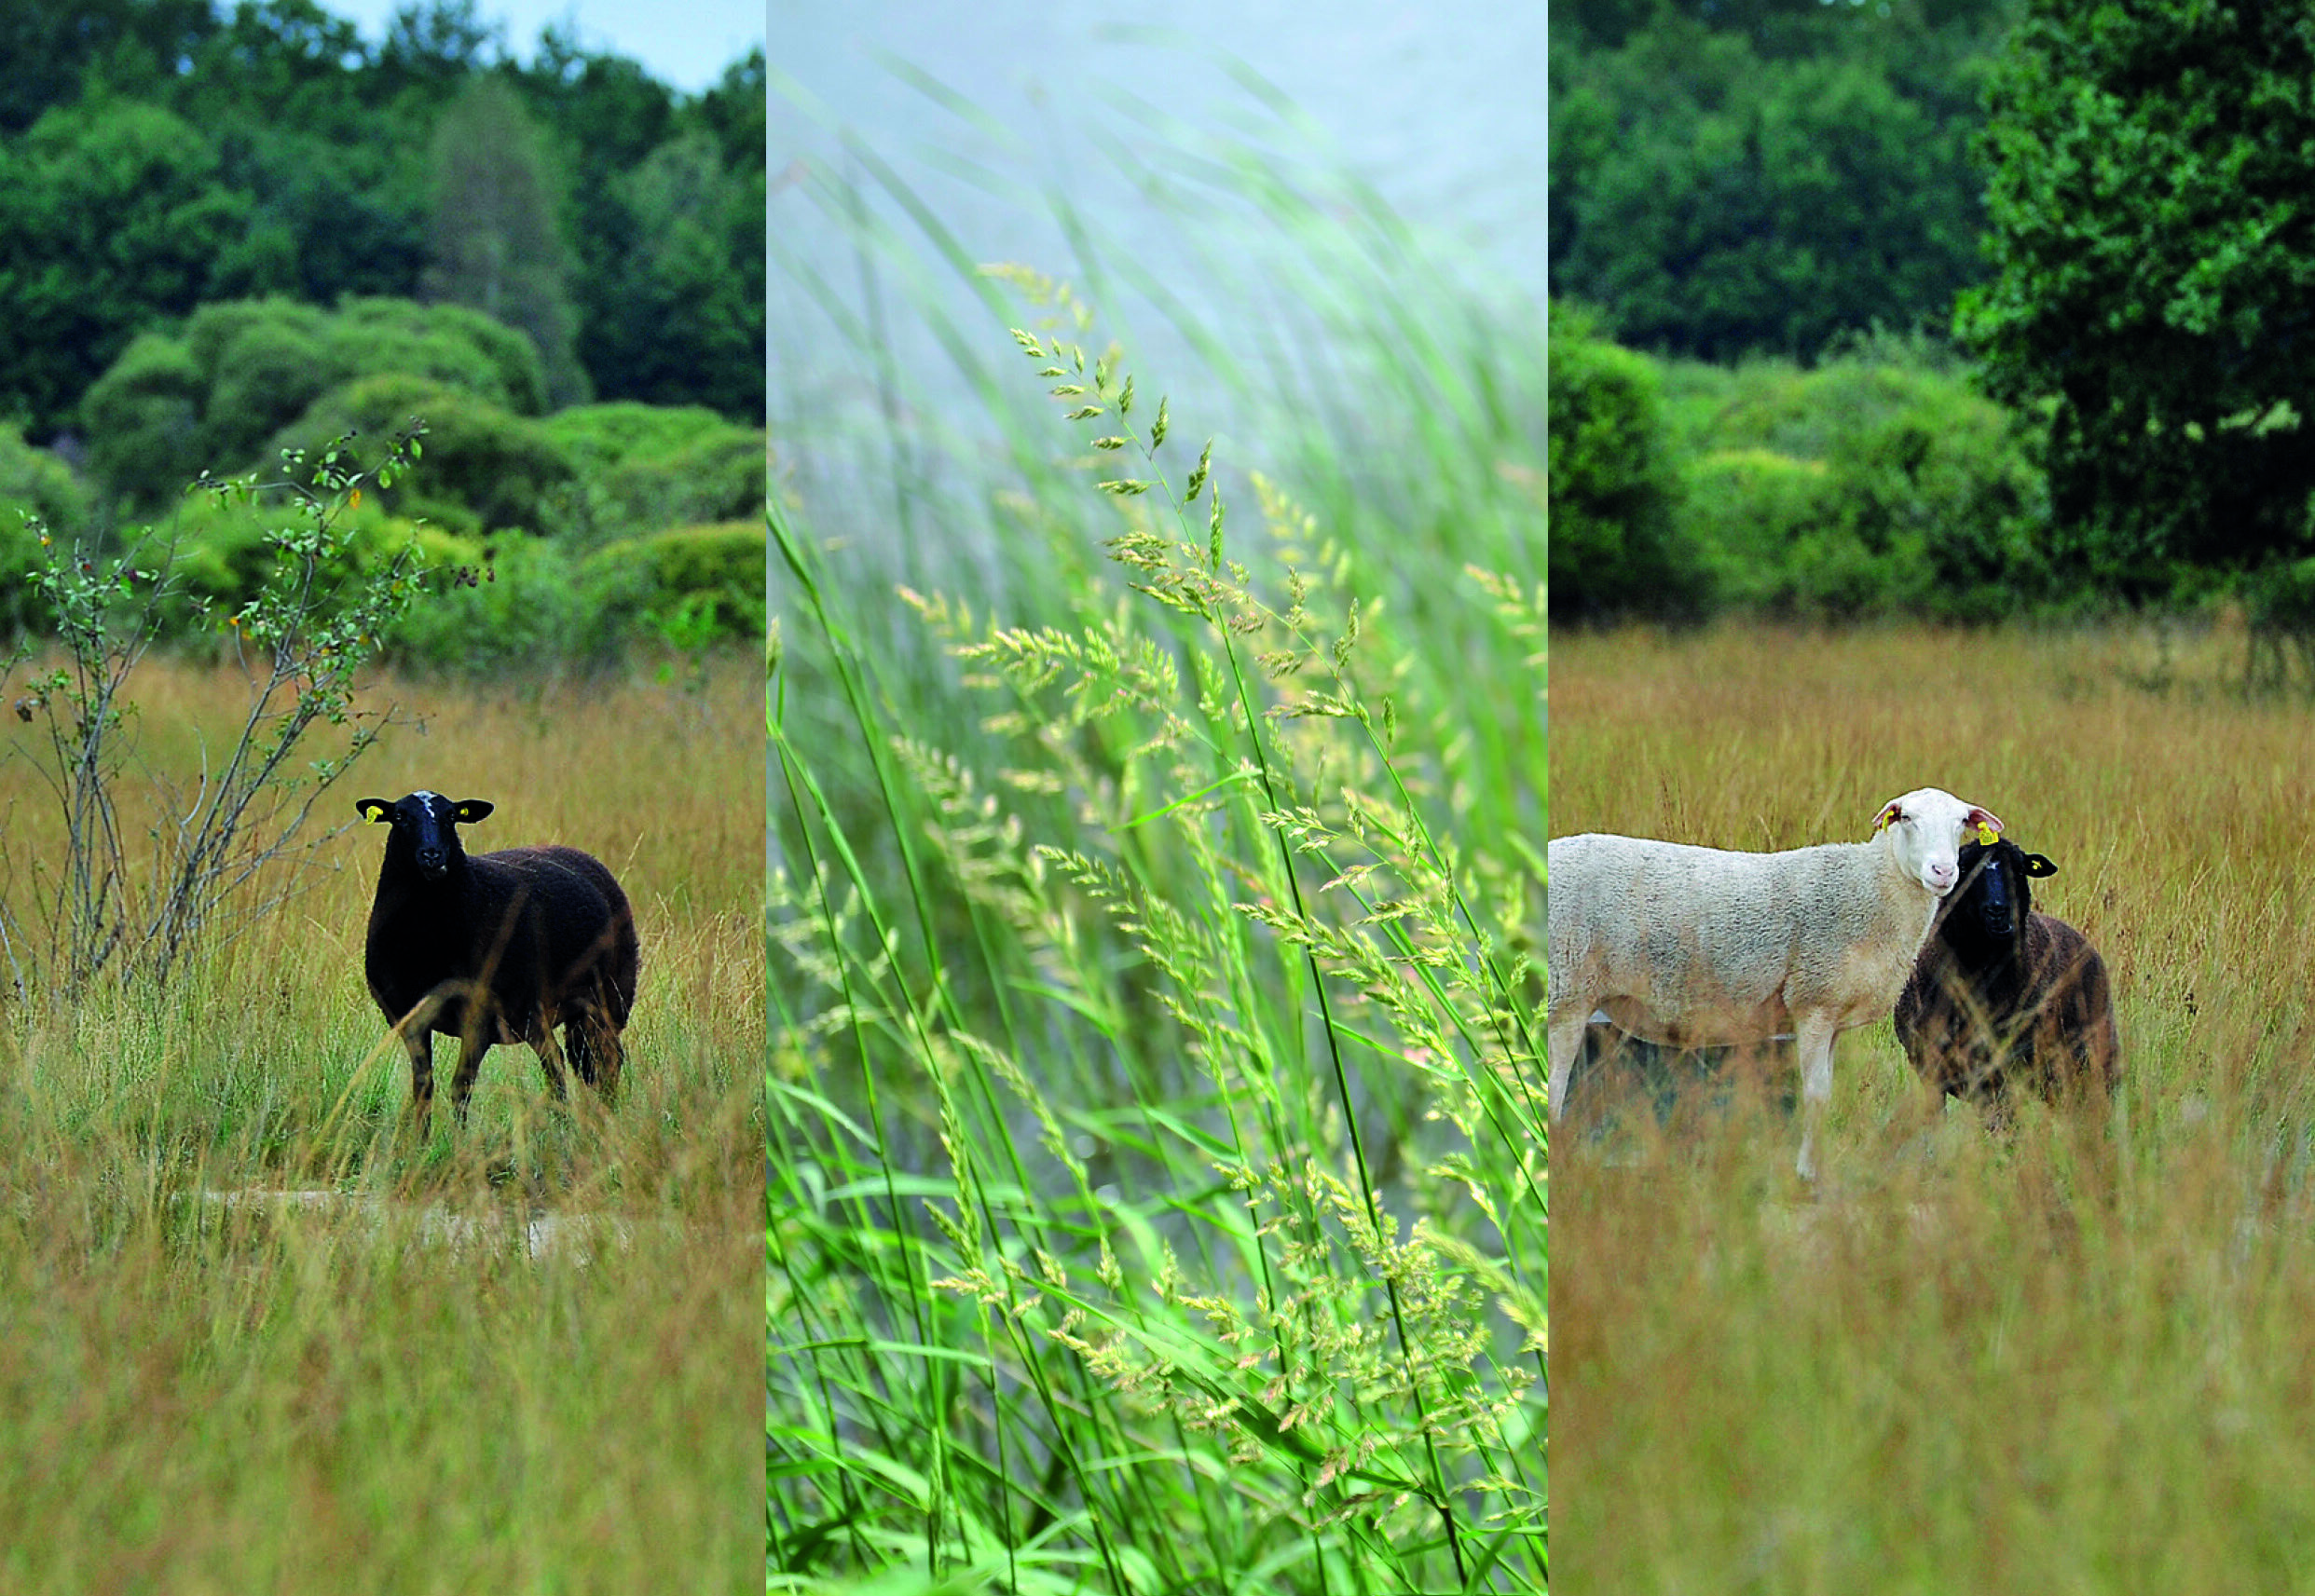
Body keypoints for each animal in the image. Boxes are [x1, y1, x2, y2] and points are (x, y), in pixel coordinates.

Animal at [354, 791, 638, 1119]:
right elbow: (423, 1089)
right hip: (541, 1011)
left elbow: (461, 1088)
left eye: (452, 816)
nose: (432, 855)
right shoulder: (408, 1018)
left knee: (605, 1060)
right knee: (563, 1062)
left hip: (610, 997)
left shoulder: (479, 1016)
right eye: (400, 816)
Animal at [1546, 786, 2000, 1175]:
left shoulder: (1833, 1015)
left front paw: (1816, 1169)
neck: (1870, 888)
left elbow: (1825, 1094)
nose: (1943, 871)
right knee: (1554, 1089)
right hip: (1566, 992)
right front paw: (1806, 1175)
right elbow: (1815, 1096)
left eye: (1962, 822)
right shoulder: (1813, 1002)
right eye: (1906, 817)